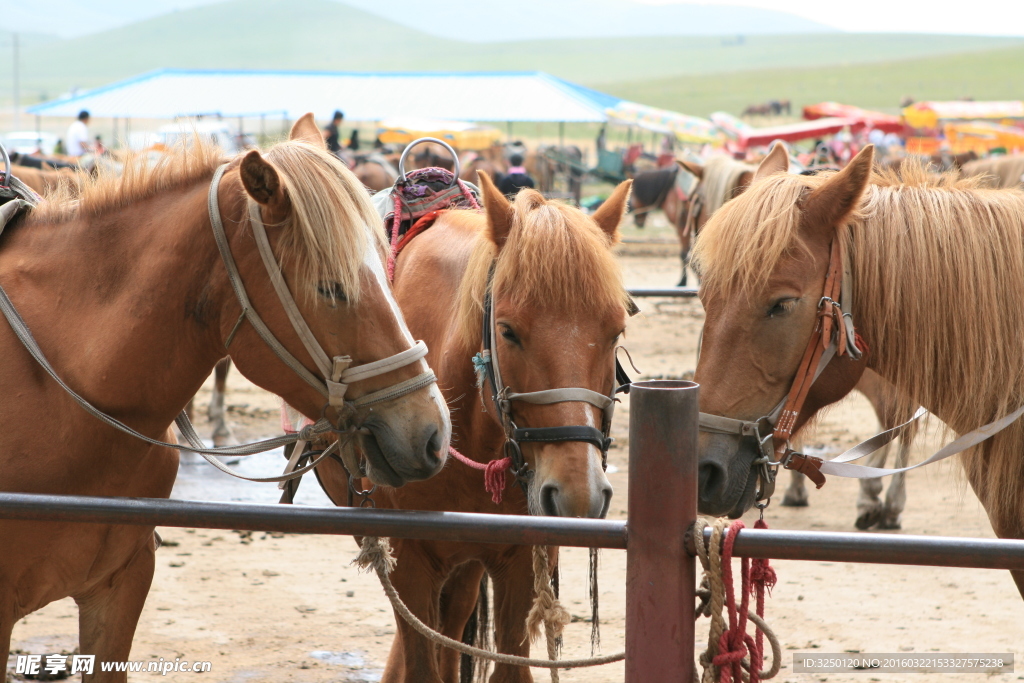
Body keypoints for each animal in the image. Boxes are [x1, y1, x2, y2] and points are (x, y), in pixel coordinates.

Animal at [315, 174, 633, 682]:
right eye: (507, 331)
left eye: (615, 330)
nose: (578, 494)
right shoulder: (408, 560)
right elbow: (420, 660)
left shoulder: (520, 561)